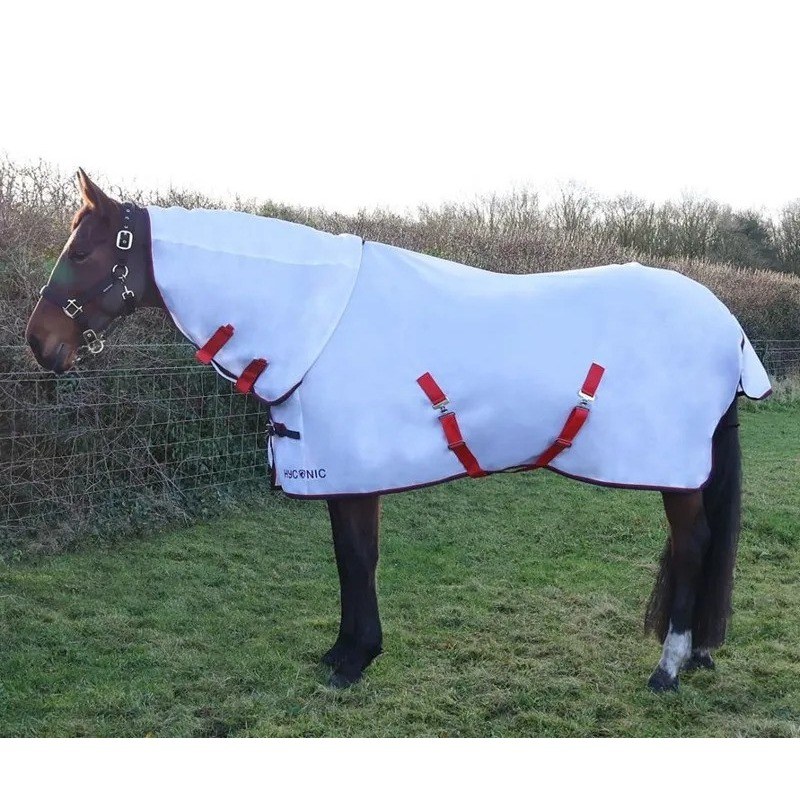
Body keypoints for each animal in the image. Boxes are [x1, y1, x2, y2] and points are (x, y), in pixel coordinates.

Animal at [25, 169, 771, 692]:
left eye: (85, 251)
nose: (39, 344)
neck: (316, 321)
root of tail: (725, 323)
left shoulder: (354, 474)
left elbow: (356, 559)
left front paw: (351, 662)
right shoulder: (341, 472)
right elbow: (350, 559)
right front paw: (345, 651)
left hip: (674, 472)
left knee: (694, 546)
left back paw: (668, 669)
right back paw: (694, 657)